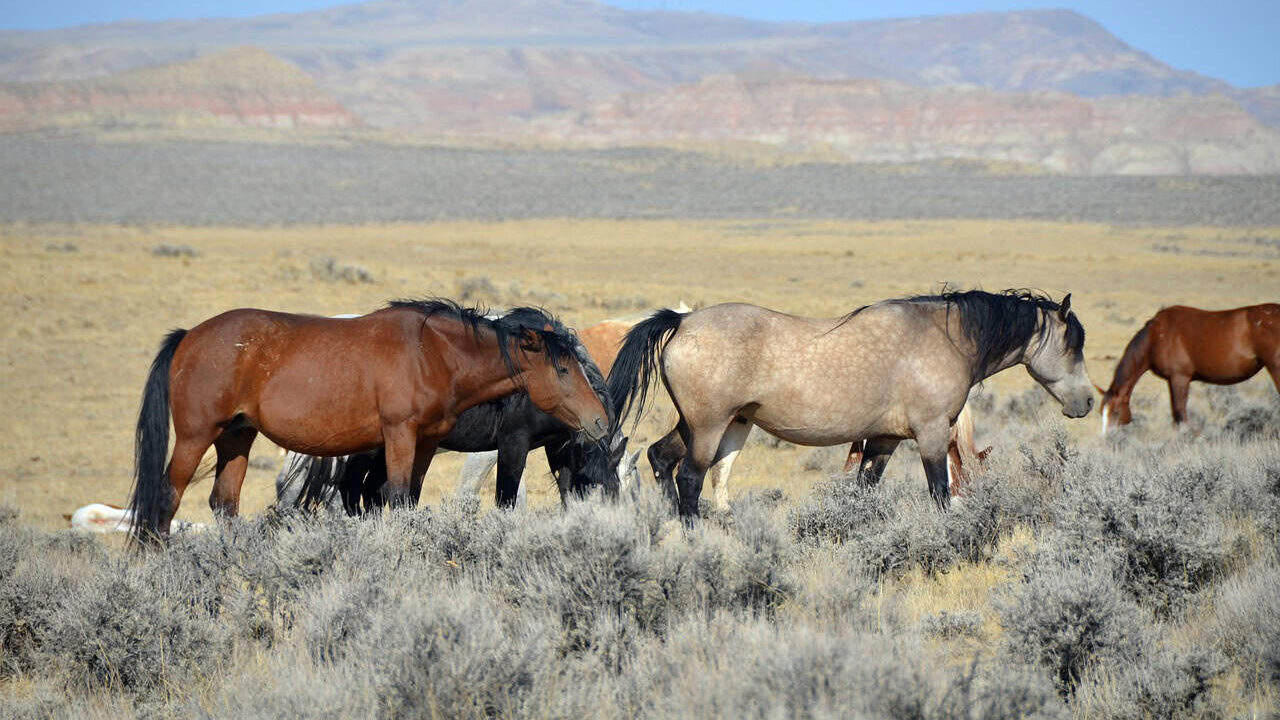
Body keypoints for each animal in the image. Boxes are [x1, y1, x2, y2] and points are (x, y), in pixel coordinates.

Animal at [276, 310, 630, 512]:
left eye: (616, 494)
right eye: (602, 494)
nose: (598, 421)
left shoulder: (557, 449)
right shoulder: (511, 444)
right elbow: (505, 500)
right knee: (350, 492)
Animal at [608, 290, 1093, 517]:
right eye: (1073, 343)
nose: (1087, 401)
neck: (945, 338)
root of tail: (683, 321)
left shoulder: (883, 441)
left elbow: (865, 491)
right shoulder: (932, 435)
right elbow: (940, 492)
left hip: (702, 424)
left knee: (660, 457)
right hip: (709, 427)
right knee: (689, 477)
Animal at [1098, 303, 1280, 434]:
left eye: (1115, 412)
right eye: (1101, 412)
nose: (1108, 438)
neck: (1156, 337)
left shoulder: (1180, 378)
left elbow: (1180, 416)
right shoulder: (1173, 381)